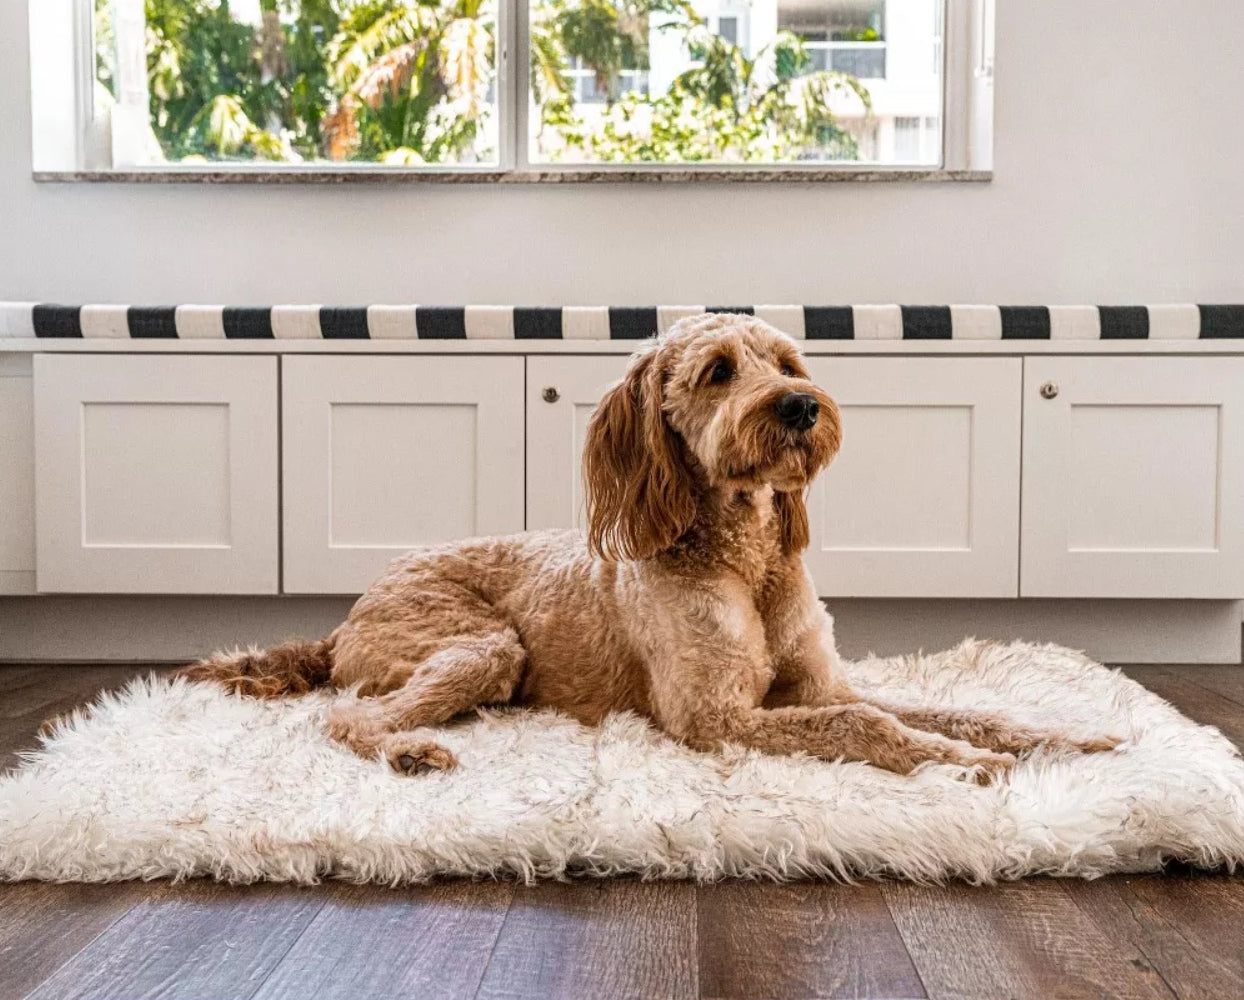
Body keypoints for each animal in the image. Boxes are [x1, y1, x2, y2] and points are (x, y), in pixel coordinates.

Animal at [181, 312, 1119, 781]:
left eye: (788, 362)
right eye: (718, 371)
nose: (801, 406)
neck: (746, 557)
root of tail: (343, 622)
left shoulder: (816, 684)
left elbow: (944, 708)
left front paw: (1063, 741)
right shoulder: (713, 718)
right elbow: (865, 724)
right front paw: (960, 765)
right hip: (483, 645)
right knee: (347, 716)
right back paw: (409, 749)